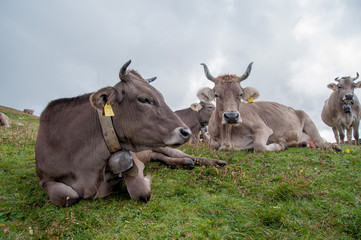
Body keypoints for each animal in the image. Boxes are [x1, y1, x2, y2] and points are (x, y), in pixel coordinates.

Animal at [34, 60, 225, 206]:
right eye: (144, 99)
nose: (185, 131)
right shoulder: (44, 178)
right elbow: (66, 196)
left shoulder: (134, 163)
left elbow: (141, 190)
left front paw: (146, 178)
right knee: (163, 158)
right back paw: (183, 163)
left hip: (165, 147)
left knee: (188, 155)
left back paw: (215, 162)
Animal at [197, 62, 340, 152]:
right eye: (216, 95)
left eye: (240, 94)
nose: (231, 116)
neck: (228, 136)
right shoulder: (213, 140)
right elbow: (213, 146)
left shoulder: (263, 129)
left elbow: (259, 146)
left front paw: (279, 146)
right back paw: (300, 143)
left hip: (308, 120)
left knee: (320, 141)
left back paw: (333, 147)